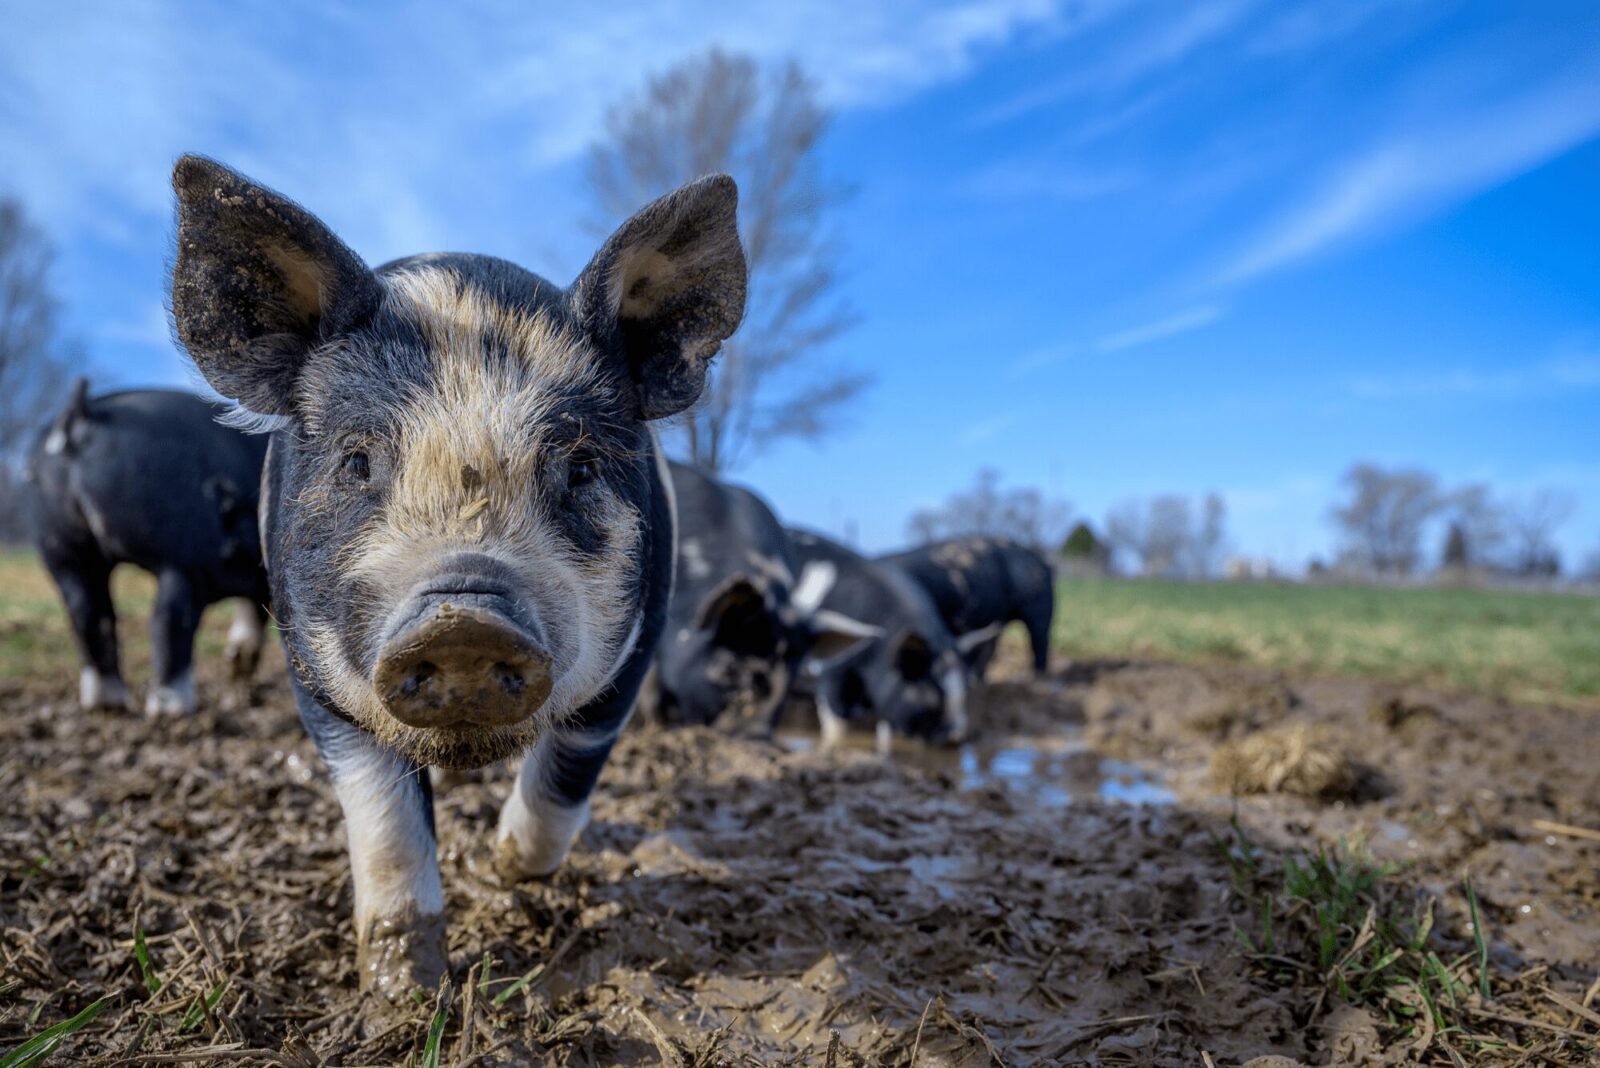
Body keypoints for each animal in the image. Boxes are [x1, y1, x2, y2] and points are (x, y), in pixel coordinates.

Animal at [24, 379, 271, 715]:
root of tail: (81, 413)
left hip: (64, 553)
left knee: (88, 614)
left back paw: (107, 704)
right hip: (181, 557)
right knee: (169, 619)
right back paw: (173, 709)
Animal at [167, 155, 746, 997]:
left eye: (579, 466)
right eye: (357, 461)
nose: (463, 618)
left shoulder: (636, 650)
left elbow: (564, 778)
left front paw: (507, 871)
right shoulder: (312, 671)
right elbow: (386, 822)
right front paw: (405, 992)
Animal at [785, 528, 989, 747]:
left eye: (966, 692)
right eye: (931, 699)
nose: (955, 738)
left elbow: (883, 727)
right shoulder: (832, 668)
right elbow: (837, 721)